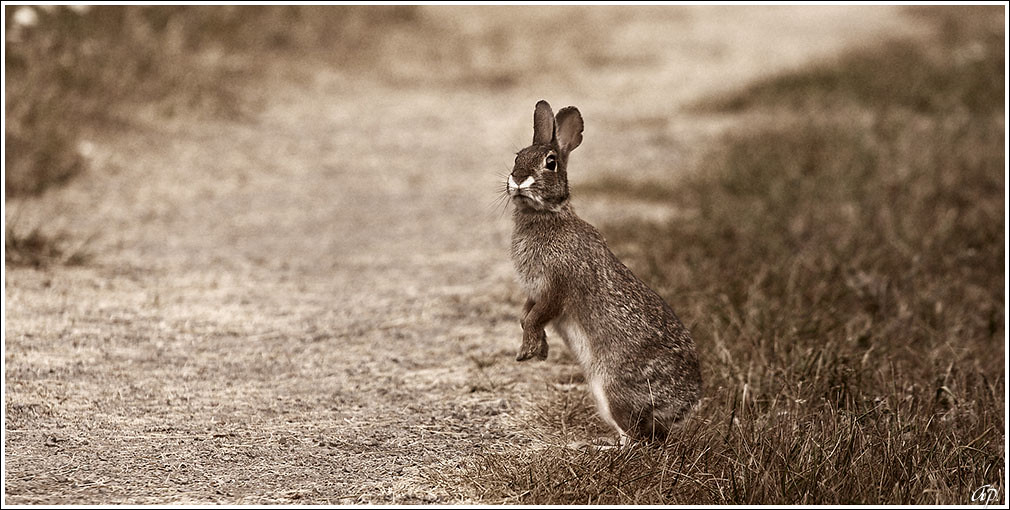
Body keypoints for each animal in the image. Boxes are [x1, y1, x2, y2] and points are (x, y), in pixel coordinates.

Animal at [506, 100, 702, 445]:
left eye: (551, 163)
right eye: (518, 156)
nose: (517, 179)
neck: (547, 215)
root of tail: (686, 402)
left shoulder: (556, 286)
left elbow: (536, 316)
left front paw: (528, 351)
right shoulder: (534, 292)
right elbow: (526, 315)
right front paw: (538, 349)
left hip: (612, 388)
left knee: (636, 439)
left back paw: (596, 447)